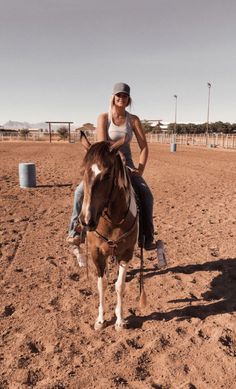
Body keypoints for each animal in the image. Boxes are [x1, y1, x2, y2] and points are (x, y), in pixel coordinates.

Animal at [79, 131, 142, 330]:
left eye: (107, 175)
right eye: (82, 171)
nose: (86, 220)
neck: (112, 222)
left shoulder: (126, 254)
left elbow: (119, 286)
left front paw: (120, 320)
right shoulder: (96, 253)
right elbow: (102, 284)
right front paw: (100, 320)